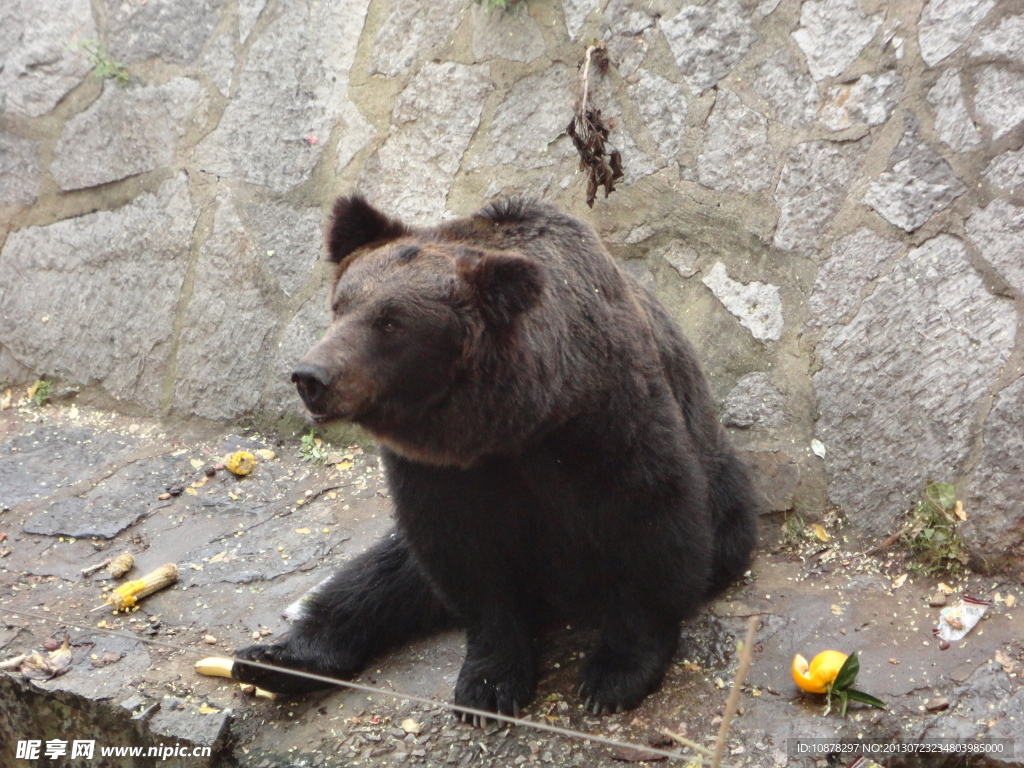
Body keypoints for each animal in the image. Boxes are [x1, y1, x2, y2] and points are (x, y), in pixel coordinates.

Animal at [234, 193, 761, 720]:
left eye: (389, 321)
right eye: (340, 305)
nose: (311, 377)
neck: (517, 422)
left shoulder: (607, 419)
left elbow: (649, 522)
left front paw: (614, 674)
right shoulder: (441, 471)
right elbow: (467, 560)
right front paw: (489, 682)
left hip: (725, 495)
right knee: (380, 577)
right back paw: (275, 658)